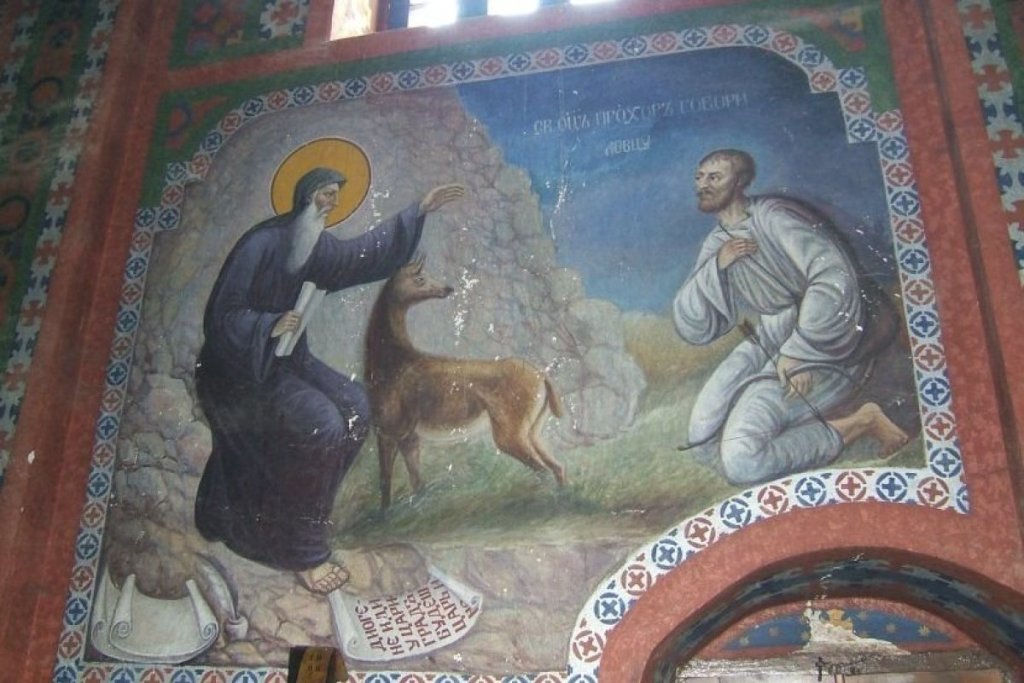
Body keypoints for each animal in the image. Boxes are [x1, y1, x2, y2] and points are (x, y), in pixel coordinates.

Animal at [365, 257, 566, 509]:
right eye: (420, 278)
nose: (448, 289)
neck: (391, 362)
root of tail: (542, 376)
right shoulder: (408, 437)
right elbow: (416, 484)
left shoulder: (390, 430)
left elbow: (386, 482)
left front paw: (384, 514)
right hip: (534, 432)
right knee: (558, 468)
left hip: (510, 435)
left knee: (544, 471)